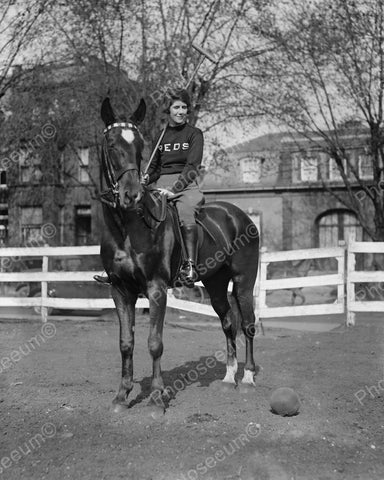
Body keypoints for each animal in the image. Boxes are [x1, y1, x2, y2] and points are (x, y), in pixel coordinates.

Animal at [99, 97, 260, 412]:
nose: (131, 195)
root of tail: (239, 216)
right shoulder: (120, 290)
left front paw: (156, 398)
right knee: (228, 323)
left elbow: (154, 343)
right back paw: (228, 377)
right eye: (111, 144)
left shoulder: (156, 289)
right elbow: (126, 343)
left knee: (247, 325)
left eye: (140, 144)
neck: (128, 227)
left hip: (244, 282)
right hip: (215, 284)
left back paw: (247, 378)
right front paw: (122, 396)